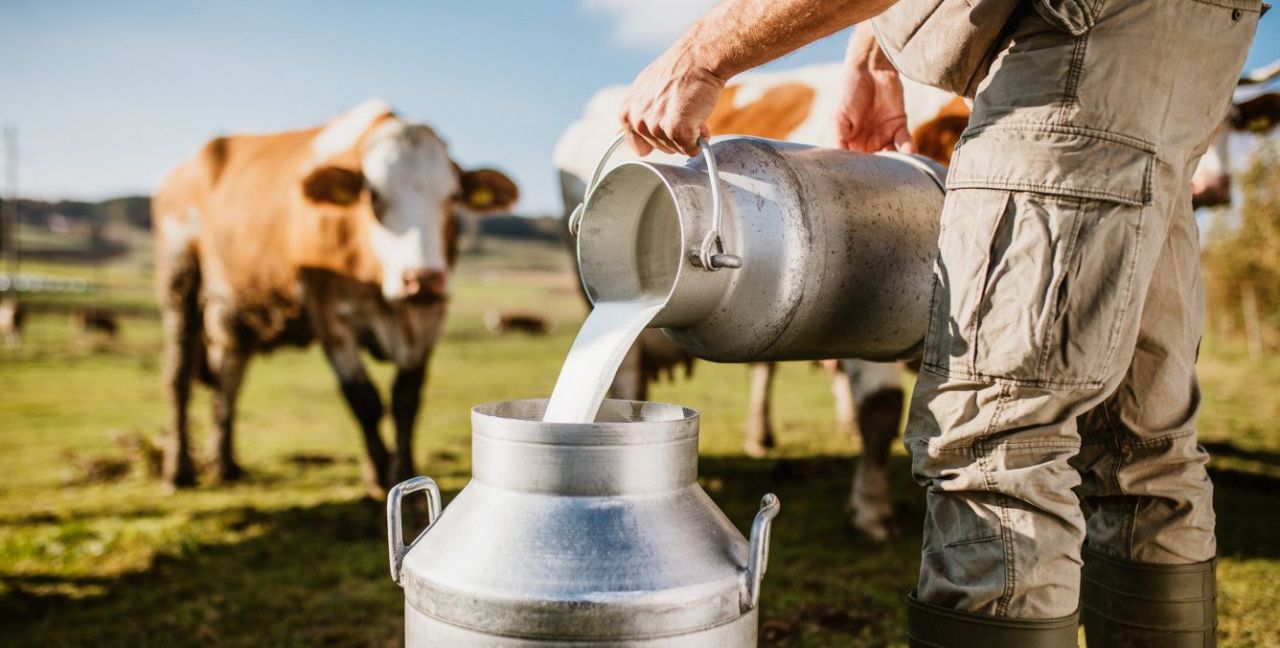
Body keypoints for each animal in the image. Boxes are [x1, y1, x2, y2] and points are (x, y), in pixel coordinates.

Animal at [157, 98, 517, 494]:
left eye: (452, 197)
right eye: (373, 196)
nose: (422, 278)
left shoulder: (429, 317)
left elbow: (406, 399)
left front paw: (404, 472)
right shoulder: (330, 317)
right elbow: (364, 399)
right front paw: (379, 475)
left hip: (235, 313)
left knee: (228, 379)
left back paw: (225, 463)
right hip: (180, 281)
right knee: (178, 377)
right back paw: (179, 470)